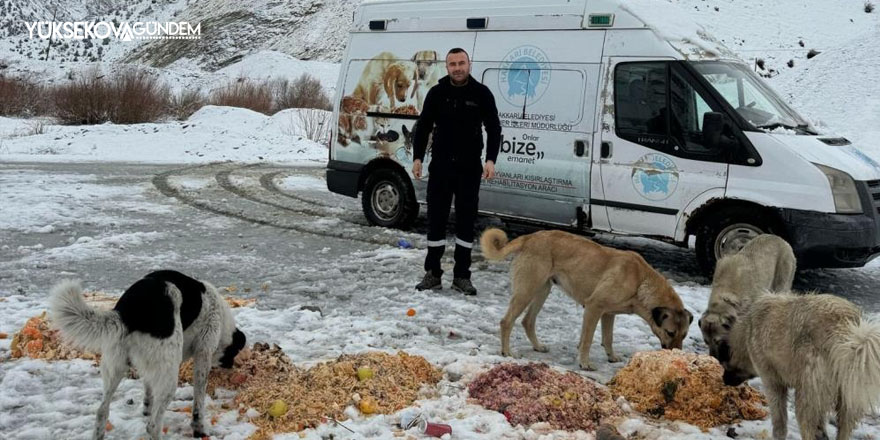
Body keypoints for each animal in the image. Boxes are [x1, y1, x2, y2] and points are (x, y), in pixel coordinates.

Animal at [49, 270, 246, 438]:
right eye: (234, 352)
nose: (231, 366)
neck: (220, 317)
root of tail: (128, 311)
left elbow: (148, 389)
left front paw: (146, 408)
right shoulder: (203, 355)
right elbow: (198, 402)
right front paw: (199, 429)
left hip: (115, 366)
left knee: (101, 412)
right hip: (168, 375)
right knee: (153, 426)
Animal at [482, 229, 696, 370]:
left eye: (684, 335)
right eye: (669, 332)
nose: (677, 355)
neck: (640, 282)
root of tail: (529, 237)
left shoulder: (608, 314)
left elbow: (607, 338)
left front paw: (611, 357)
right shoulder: (594, 307)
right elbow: (588, 339)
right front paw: (584, 362)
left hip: (542, 290)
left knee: (527, 321)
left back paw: (537, 346)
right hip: (526, 290)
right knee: (506, 321)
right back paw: (507, 352)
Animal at [720, 292, 880, 440]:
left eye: (728, 353)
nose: (724, 379)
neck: (747, 328)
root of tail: (844, 328)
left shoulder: (773, 383)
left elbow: (779, 421)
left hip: (807, 396)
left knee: (807, 427)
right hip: (848, 397)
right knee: (843, 429)